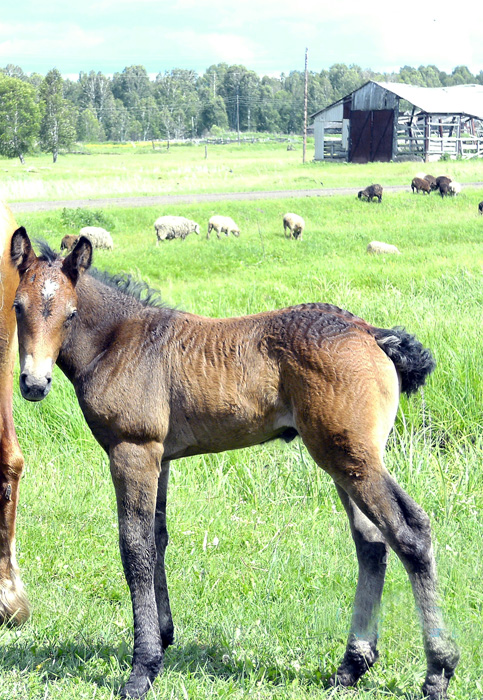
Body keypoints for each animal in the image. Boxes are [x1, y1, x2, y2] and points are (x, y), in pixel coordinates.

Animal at [9, 231, 460, 700]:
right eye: (18, 307)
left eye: (71, 313)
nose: (34, 383)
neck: (118, 341)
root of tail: (370, 333)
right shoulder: (160, 457)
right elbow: (158, 539)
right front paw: (164, 638)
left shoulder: (133, 450)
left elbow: (135, 547)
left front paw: (142, 668)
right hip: (345, 461)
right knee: (371, 542)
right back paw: (351, 666)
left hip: (352, 458)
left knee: (410, 533)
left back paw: (438, 671)